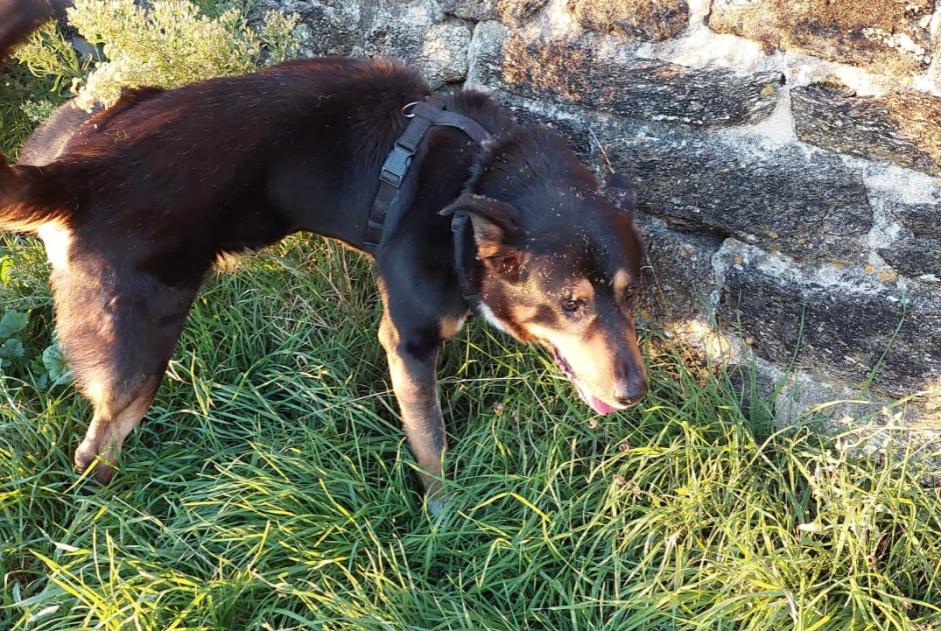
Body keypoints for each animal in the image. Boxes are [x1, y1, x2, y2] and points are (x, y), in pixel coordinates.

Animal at [0, 2, 648, 512]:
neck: (475, 175)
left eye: (629, 293)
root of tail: (75, 176)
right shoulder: (408, 343)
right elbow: (432, 443)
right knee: (95, 448)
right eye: (569, 304)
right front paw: (444, 518)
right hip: (138, 355)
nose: (635, 394)